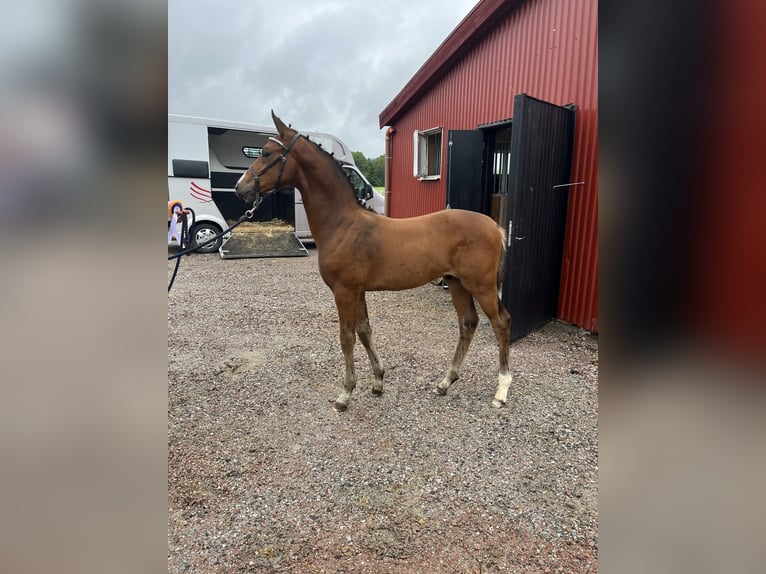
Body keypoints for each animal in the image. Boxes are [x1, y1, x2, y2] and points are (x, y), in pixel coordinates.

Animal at [238, 112, 516, 412]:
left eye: (266, 153)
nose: (240, 187)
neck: (343, 224)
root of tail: (495, 226)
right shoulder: (357, 291)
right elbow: (364, 331)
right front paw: (378, 382)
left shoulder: (344, 291)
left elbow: (346, 337)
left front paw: (345, 394)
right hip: (456, 283)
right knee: (468, 323)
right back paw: (445, 382)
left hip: (481, 286)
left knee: (501, 323)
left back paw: (501, 390)